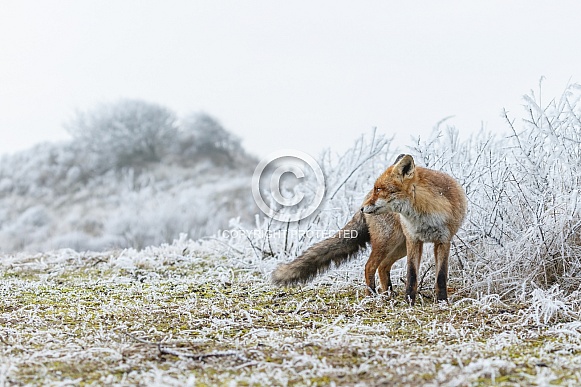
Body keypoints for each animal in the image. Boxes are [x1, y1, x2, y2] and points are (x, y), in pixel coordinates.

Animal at [272, 155, 466, 306]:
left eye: (379, 189)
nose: (362, 208)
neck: (425, 213)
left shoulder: (443, 240)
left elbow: (441, 276)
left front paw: (442, 302)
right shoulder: (414, 240)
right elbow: (411, 275)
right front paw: (410, 302)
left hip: (398, 246)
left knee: (382, 267)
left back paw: (388, 295)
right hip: (388, 242)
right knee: (370, 266)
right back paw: (372, 296)